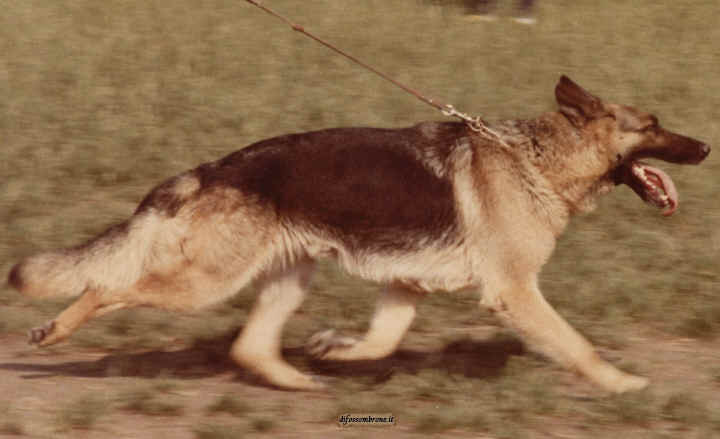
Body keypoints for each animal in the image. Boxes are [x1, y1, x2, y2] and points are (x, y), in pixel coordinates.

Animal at [7, 76, 708, 396]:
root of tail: (211, 168)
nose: (705, 146)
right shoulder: (514, 293)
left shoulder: (405, 285)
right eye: (654, 124)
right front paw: (621, 385)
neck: (537, 158)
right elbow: (577, 346)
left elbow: (380, 342)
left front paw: (337, 350)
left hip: (284, 277)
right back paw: (54, 333)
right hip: (205, 283)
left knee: (248, 346)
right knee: (105, 287)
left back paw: (302, 380)